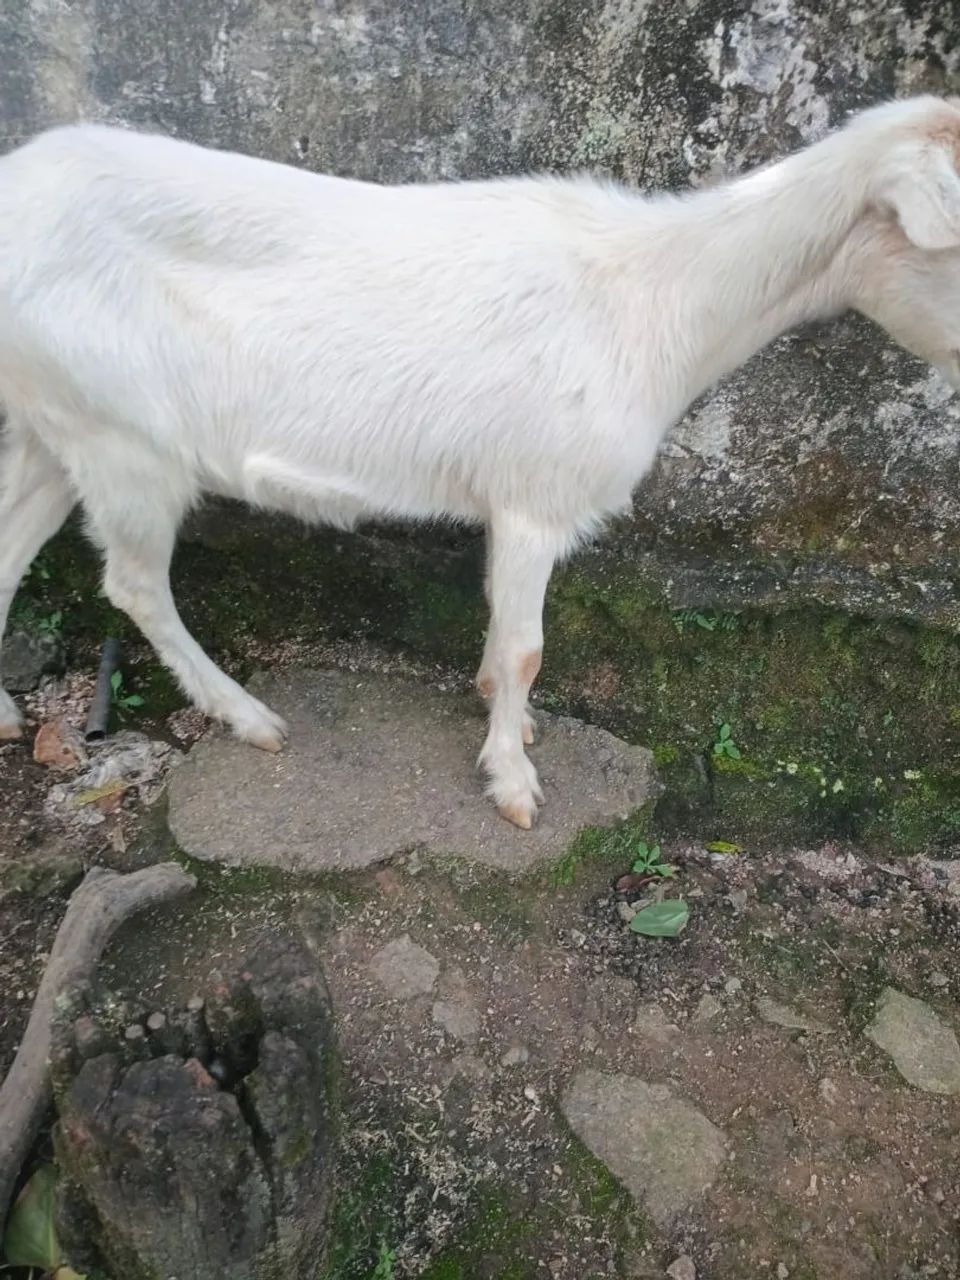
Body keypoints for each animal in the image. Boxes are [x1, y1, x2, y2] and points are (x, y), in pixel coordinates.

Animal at [1, 96, 959, 828]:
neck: (657, 299)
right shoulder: (538, 495)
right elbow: (529, 644)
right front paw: (514, 784)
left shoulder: (508, 501)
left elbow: (502, 626)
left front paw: (506, 717)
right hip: (120, 438)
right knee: (134, 583)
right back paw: (248, 716)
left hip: (47, 424)